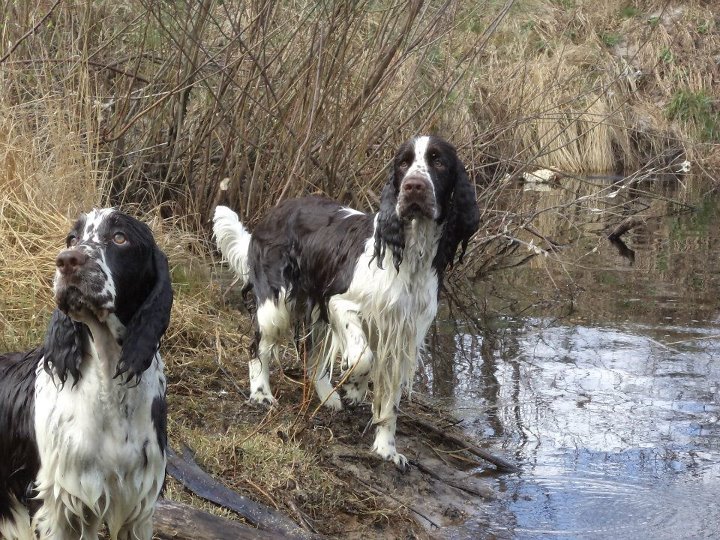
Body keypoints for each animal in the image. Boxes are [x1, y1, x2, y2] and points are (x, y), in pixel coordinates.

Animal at [0, 208, 173, 539]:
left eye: (120, 238)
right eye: (72, 239)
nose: (67, 260)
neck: (109, 389)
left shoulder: (137, 506)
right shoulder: (57, 503)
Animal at [213, 135, 479, 469]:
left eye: (439, 161)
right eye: (403, 163)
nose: (414, 186)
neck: (409, 255)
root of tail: (273, 213)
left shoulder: (401, 337)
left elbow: (389, 404)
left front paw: (386, 450)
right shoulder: (339, 302)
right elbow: (363, 357)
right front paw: (355, 388)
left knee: (313, 359)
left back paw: (328, 397)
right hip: (277, 305)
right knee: (258, 347)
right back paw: (261, 394)